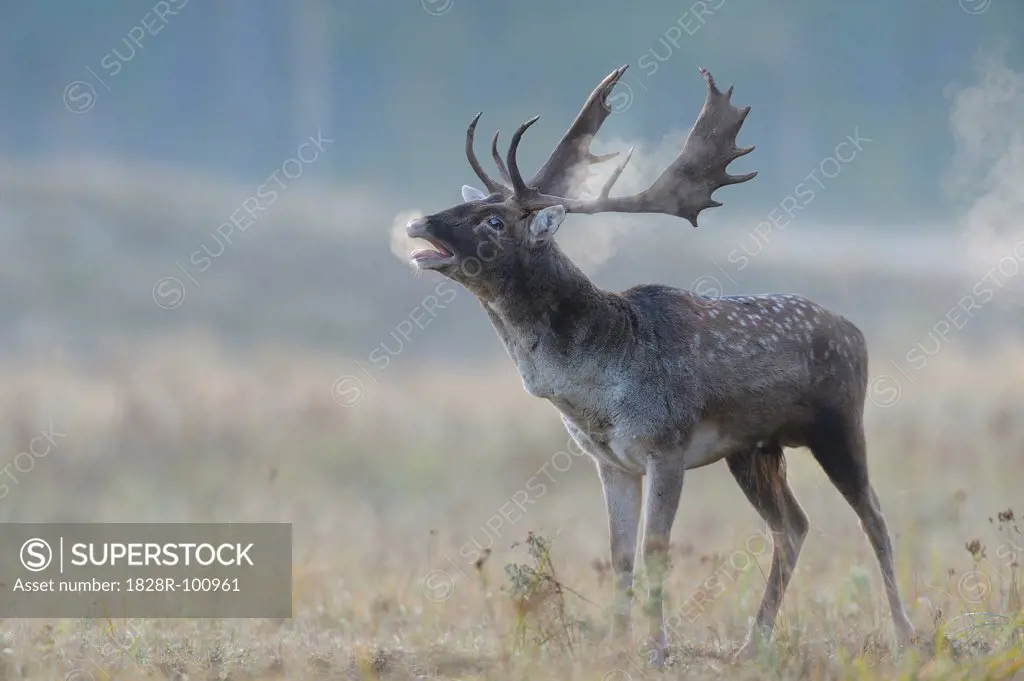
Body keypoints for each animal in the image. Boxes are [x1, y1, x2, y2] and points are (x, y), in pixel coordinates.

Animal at [403, 65, 917, 663]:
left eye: (492, 220)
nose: (419, 223)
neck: (594, 390)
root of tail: (857, 332)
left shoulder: (666, 446)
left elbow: (655, 550)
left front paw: (657, 647)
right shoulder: (611, 460)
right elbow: (620, 553)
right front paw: (619, 643)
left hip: (839, 423)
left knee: (873, 516)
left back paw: (904, 632)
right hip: (754, 450)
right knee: (793, 525)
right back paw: (753, 642)